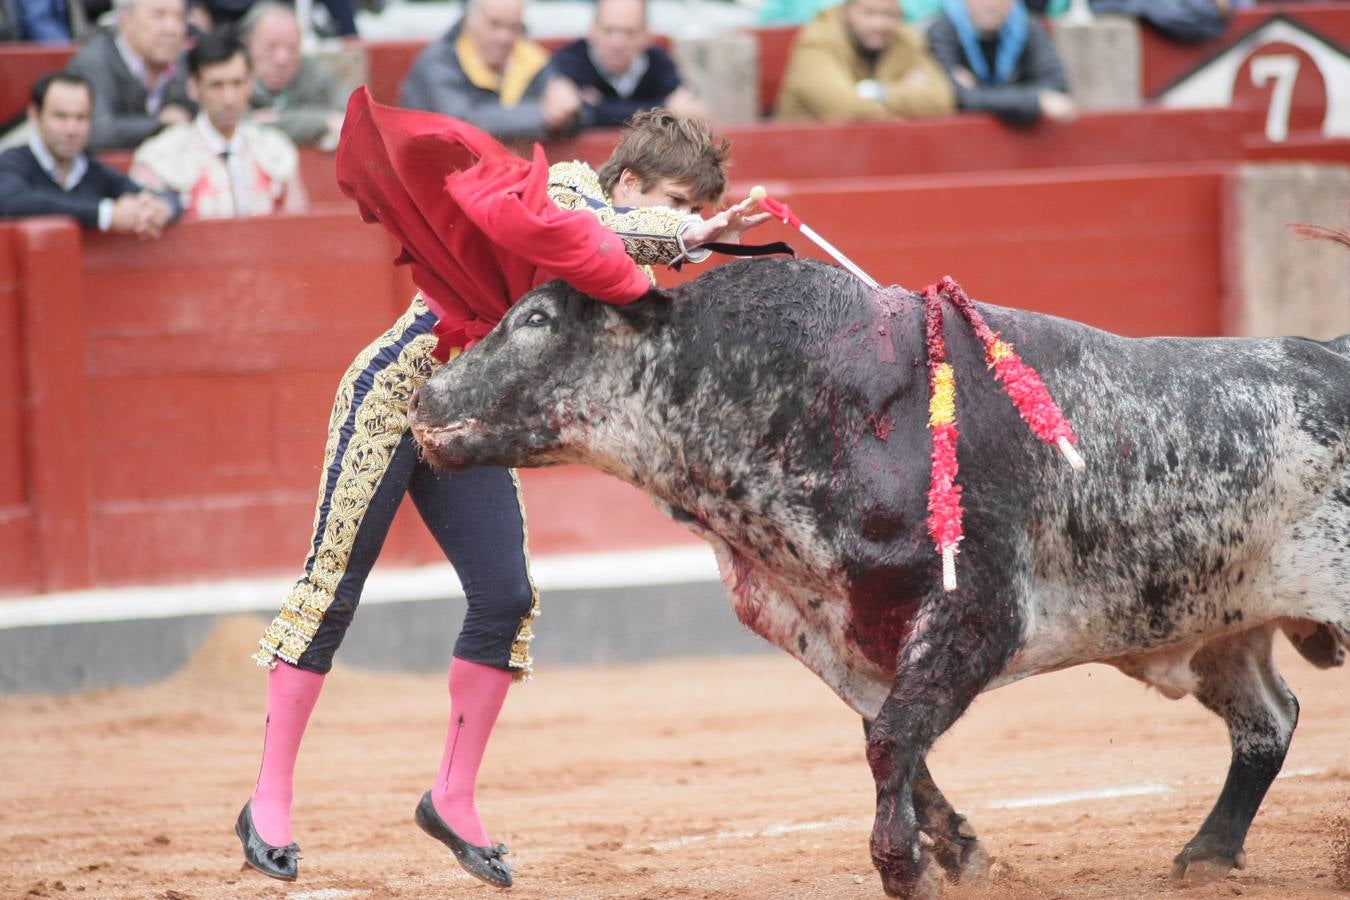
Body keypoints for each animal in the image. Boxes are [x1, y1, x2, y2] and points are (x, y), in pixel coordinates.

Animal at [407, 256, 1350, 895]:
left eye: (535, 317)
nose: (425, 398)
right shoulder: (824, 626)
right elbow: (891, 742)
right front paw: (959, 852)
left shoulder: (977, 609)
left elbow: (894, 739)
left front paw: (907, 871)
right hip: (1221, 623)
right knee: (1268, 722)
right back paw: (1204, 858)